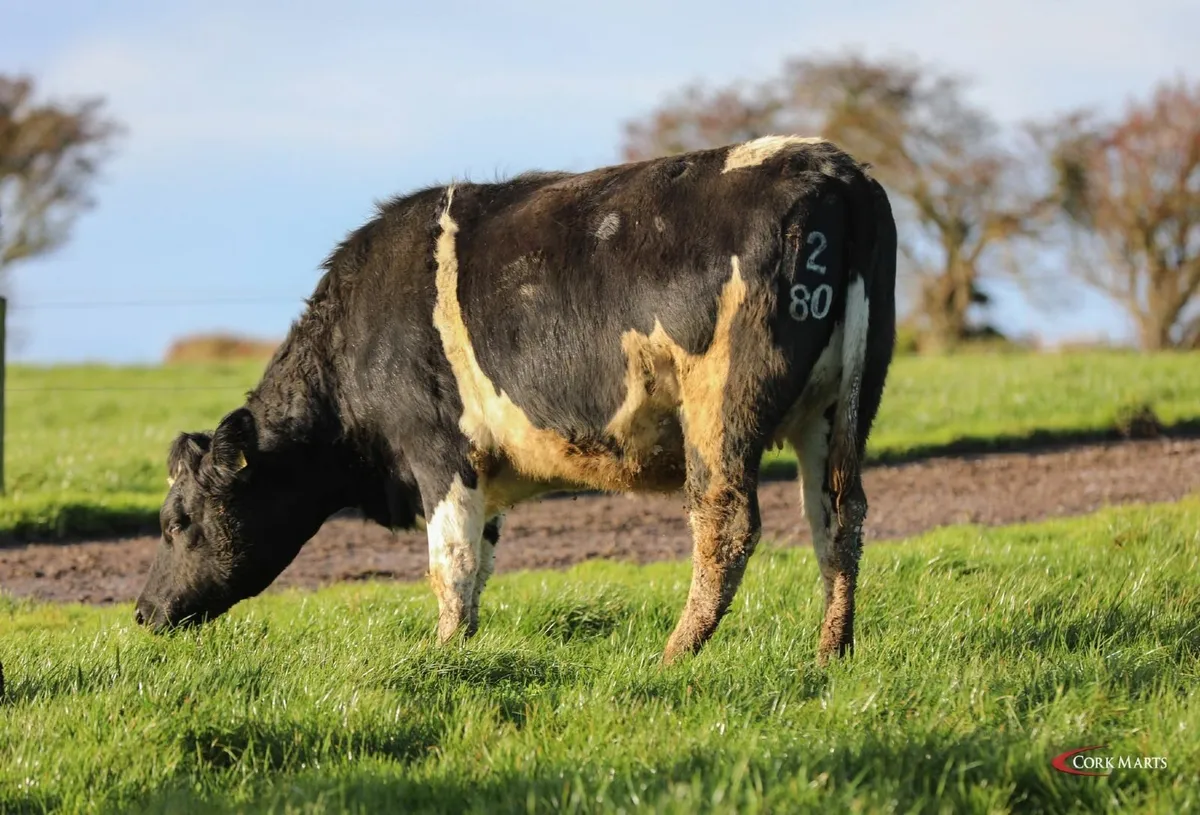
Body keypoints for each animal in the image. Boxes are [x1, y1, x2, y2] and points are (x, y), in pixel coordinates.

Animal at [134, 135, 897, 665]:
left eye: (177, 521)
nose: (142, 612)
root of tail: (833, 168)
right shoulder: (483, 470)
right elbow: (480, 563)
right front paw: (463, 650)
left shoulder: (438, 451)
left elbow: (451, 564)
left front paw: (439, 654)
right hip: (839, 410)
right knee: (838, 517)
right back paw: (830, 654)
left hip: (721, 411)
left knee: (727, 523)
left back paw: (675, 654)